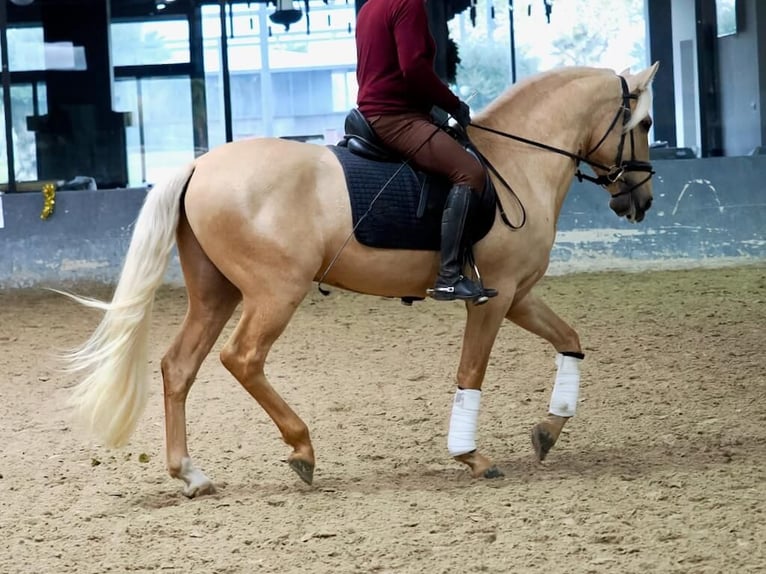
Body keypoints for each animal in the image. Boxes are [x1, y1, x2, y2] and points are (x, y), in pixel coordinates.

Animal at [66, 62, 660, 496]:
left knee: (178, 366)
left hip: (216, 293)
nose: (640, 200)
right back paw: (302, 449)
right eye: (647, 124)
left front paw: (547, 430)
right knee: (242, 358)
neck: (515, 161)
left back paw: (191, 474)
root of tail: (199, 165)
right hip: (275, 292)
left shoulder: (518, 296)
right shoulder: (491, 300)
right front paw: (471, 455)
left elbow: (569, 340)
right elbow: (471, 372)